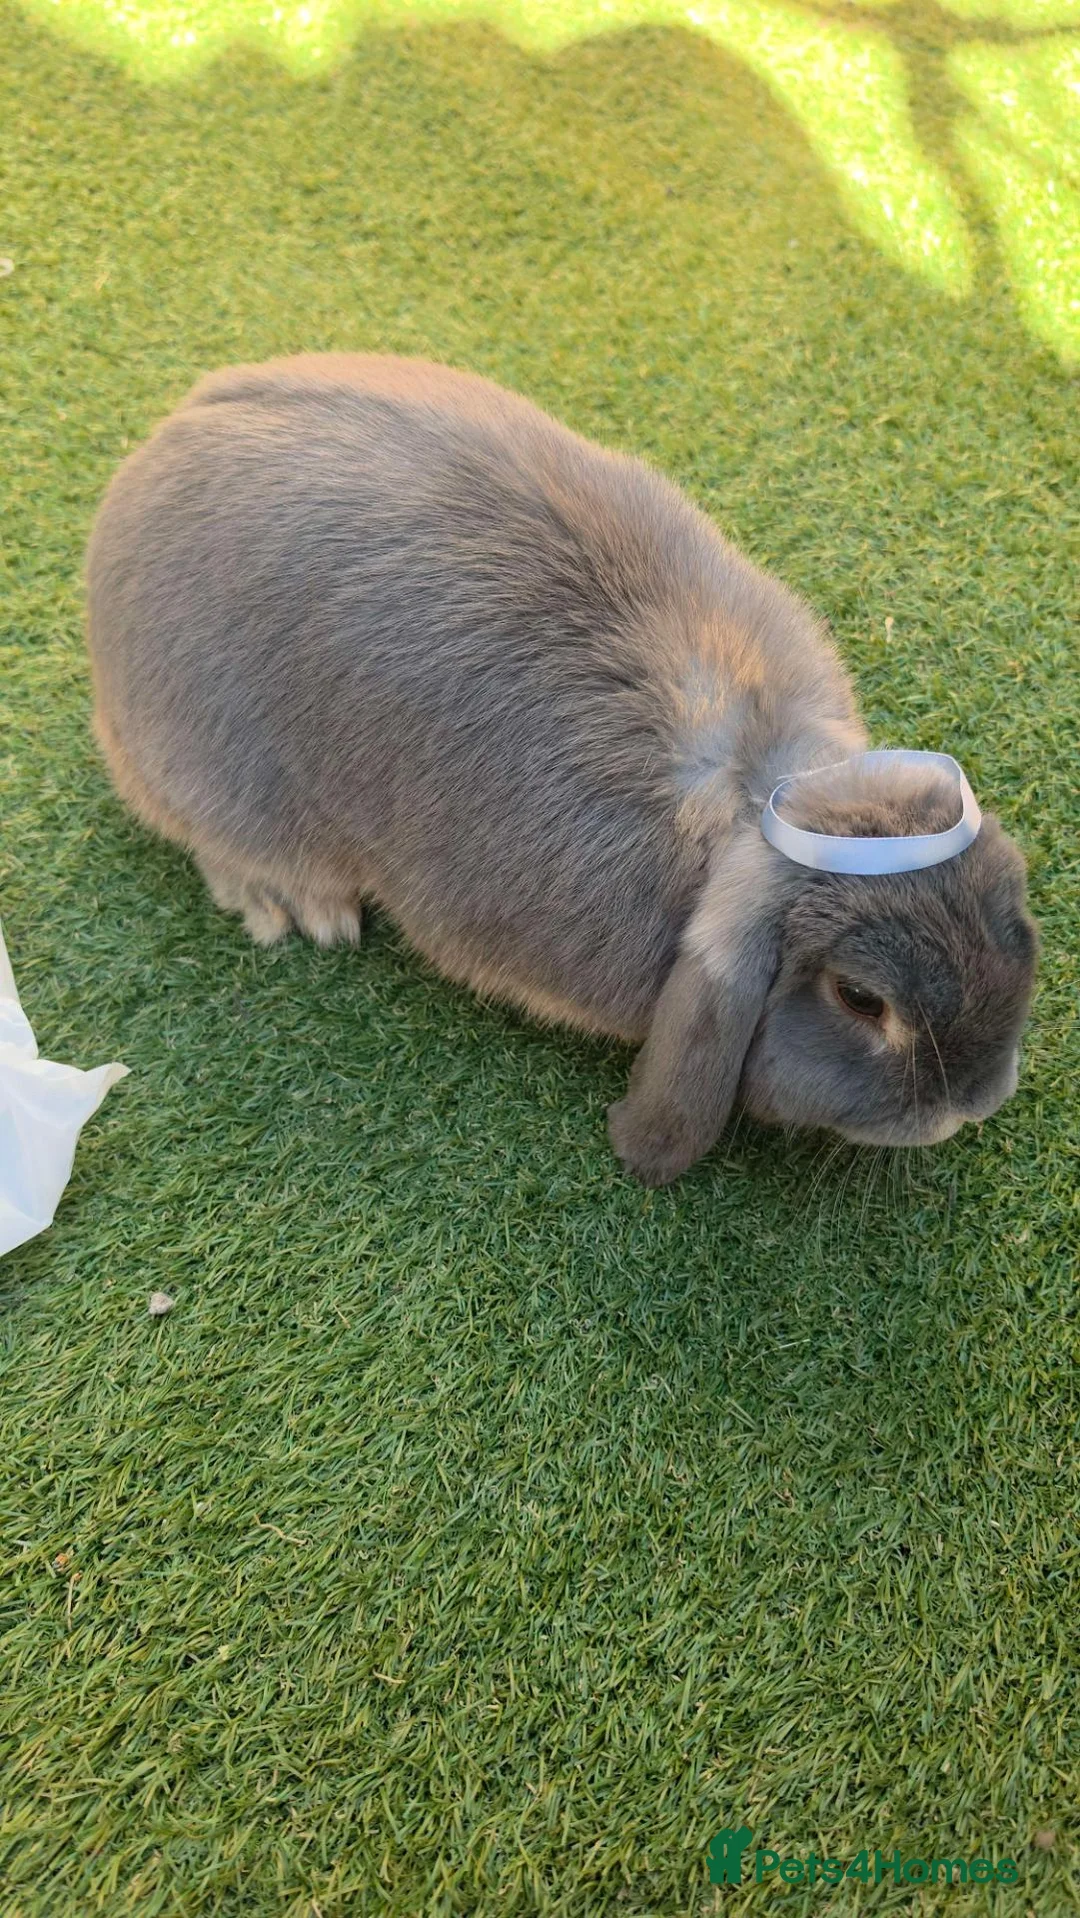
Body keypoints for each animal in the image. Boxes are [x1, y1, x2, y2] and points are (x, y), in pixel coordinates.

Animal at [85, 354, 1037, 1184]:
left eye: (1013, 915)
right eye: (859, 1000)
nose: (977, 1101)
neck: (758, 788)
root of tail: (152, 453)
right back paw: (302, 908)